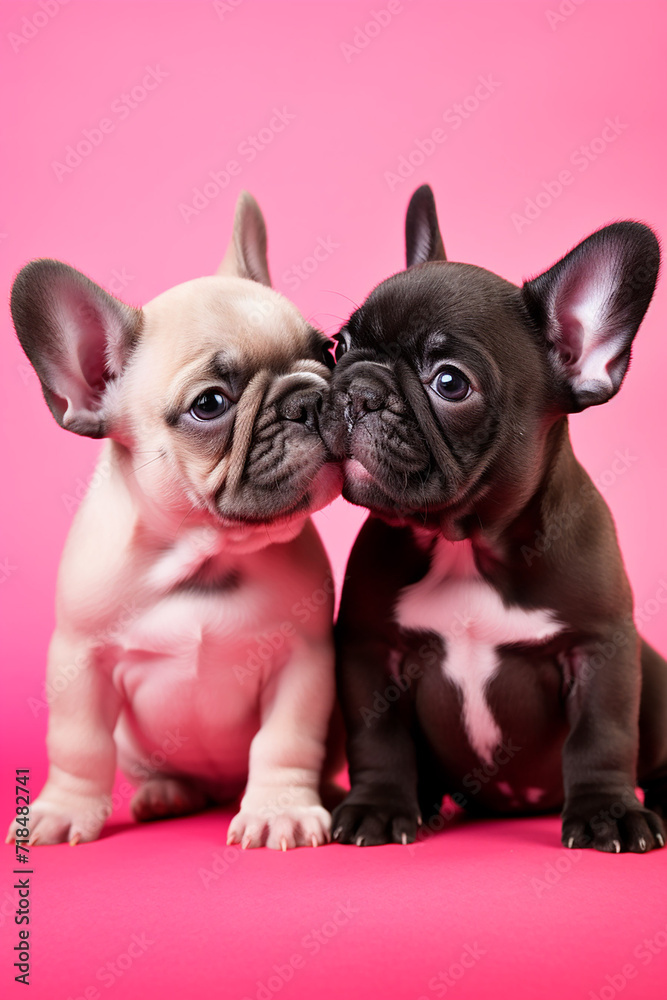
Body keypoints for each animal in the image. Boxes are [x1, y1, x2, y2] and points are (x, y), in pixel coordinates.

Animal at [3, 193, 340, 852]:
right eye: (209, 404)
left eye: (328, 352)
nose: (311, 398)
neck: (203, 555)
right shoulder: (79, 661)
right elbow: (78, 744)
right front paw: (62, 809)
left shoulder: (305, 662)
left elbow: (284, 740)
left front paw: (279, 809)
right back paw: (166, 794)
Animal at [324, 186, 667, 852]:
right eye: (340, 346)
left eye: (449, 382)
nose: (356, 390)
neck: (467, 543)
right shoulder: (371, 650)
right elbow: (379, 740)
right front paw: (378, 806)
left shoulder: (601, 648)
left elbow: (603, 735)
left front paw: (608, 813)